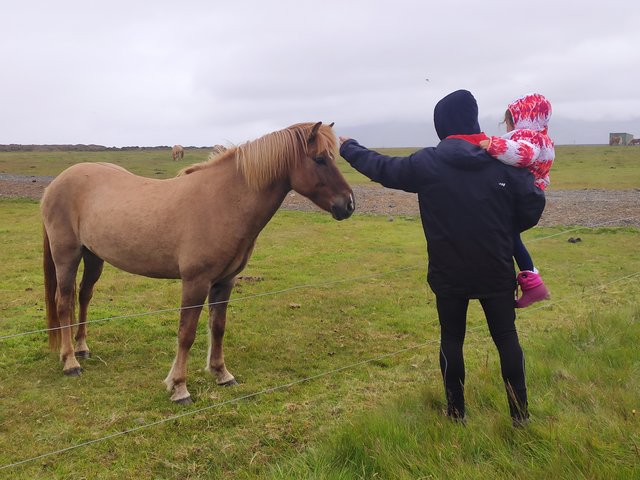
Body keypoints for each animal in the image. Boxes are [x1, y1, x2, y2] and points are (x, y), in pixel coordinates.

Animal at [40, 122, 356, 404]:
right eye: (319, 159)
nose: (349, 204)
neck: (223, 201)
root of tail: (56, 183)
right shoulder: (195, 282)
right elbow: (186, 333)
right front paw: (179, 387)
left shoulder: (224, 282)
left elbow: (218, 327)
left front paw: (221, 374)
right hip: (67, 256)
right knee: (64, 302)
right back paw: (70, 362)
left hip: (93, 256)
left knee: (84, 296)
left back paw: (82, 348)